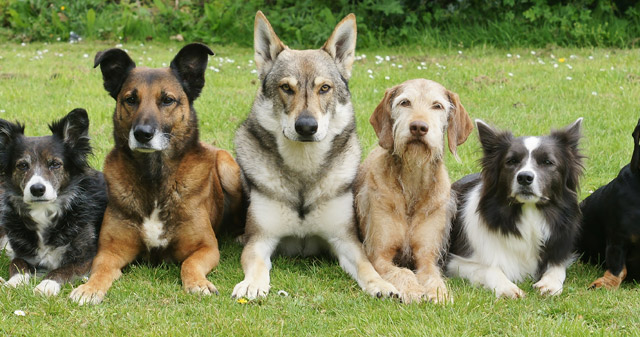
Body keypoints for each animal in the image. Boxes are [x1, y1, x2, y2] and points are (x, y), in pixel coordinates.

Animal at [0, 109, 107, 296]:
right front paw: (14, 282)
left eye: (55, 164)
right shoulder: (22, 253)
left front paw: (46, 284)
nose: (37, 189)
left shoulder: (86, 257)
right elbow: (17, 264)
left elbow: (63, 269)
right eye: (22, 165)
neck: (44, 211)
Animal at [69, 43, 241, 304]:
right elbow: (100, 270)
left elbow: (189, 264)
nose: (143, 133)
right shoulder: (110, 251)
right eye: (130, 99)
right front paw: (89, 288)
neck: (155, 178)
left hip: (226, 166)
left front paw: (198, 283)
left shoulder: (206, 248)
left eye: (168, 100)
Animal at [448, 119, 584, 296]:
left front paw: (550, 283)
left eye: (547, 162)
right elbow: (490, 269)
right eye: (511, 161)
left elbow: (557, 267)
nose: (524, 177)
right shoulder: (455, 262)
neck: (529, 212)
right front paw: (507, 287)